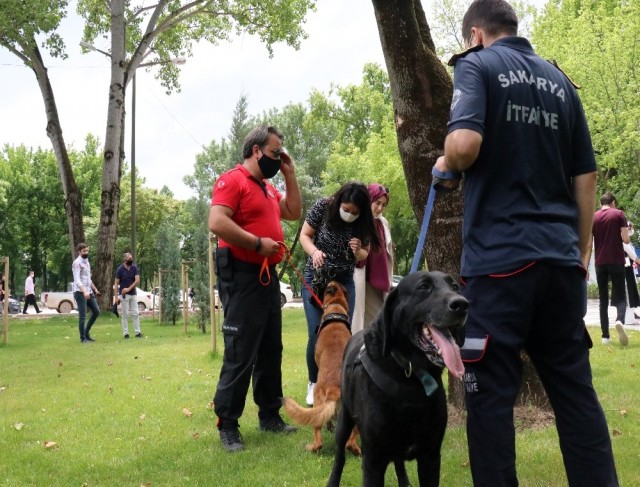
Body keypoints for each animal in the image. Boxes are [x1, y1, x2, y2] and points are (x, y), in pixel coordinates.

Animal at [328, 270, 468, 487]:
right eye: (423, 287)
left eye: (455, 287)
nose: (461, 304)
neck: (410, 378)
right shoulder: (374, 461)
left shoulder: (431, 455)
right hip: (344, 419)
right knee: (340, 456)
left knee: (398, 461)